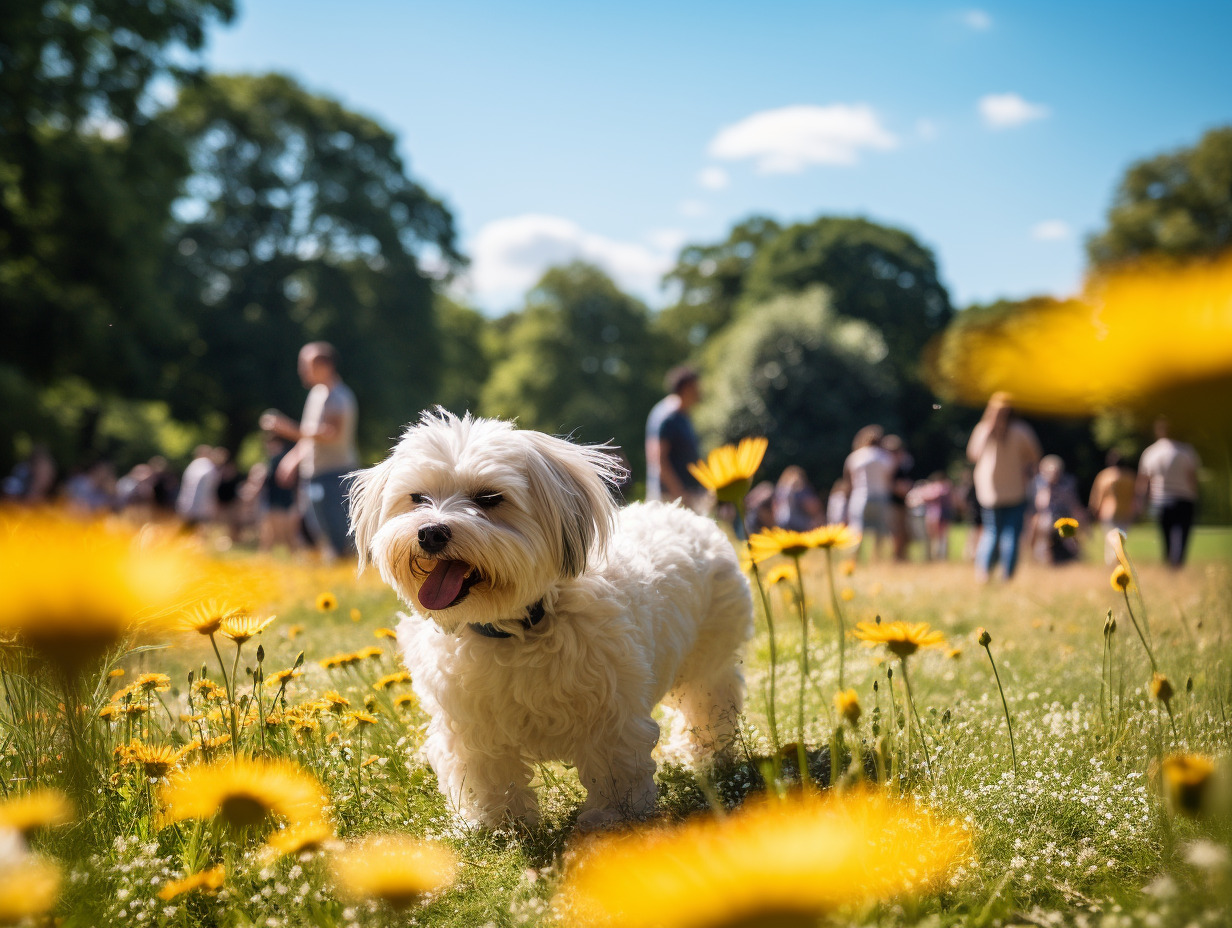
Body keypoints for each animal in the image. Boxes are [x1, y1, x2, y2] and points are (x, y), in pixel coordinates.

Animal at [347, 409, 749, 828]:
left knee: (710, 705)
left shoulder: (610, 716)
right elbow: (488, 776)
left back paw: (706, 755)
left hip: (708, 665)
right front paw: (500, 825)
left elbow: (614, 769)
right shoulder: (472, 726)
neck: (519, 626)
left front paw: (613, 818)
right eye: (418, 498)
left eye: (489, 498)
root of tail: (684, 513)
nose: (430, 532)